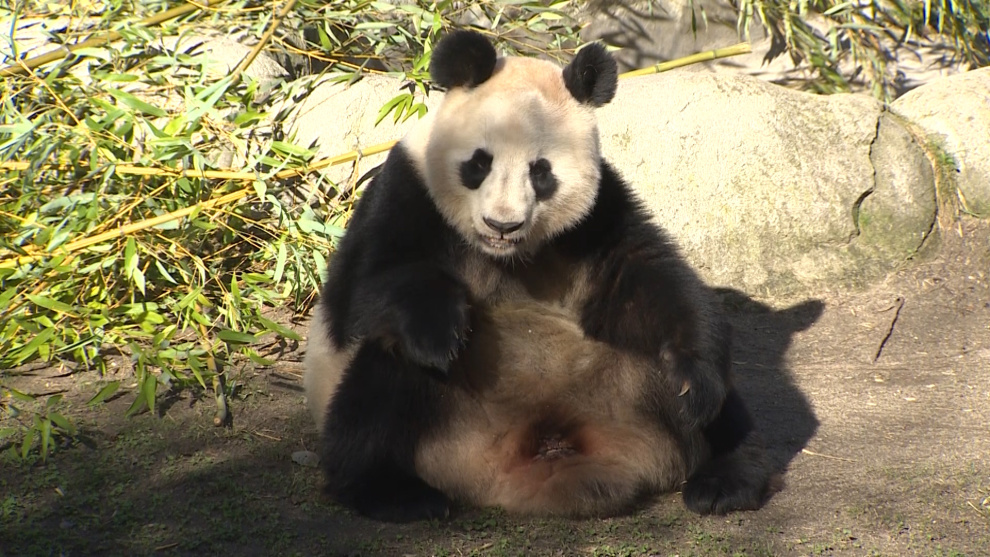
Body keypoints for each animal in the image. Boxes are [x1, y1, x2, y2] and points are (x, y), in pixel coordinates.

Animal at [304, 30, 776, 522]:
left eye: (541, 172)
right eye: (479, 164)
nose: (502, 224)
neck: (508, 256)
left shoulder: (598, 216)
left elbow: (648, 279)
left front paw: (691, 383)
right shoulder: (407, 191)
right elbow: (370, 287)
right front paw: (441, 334)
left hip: (627, 386)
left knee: (715, 404)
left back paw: (724, 481)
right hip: (442, 430)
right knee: (380, 380)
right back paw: (395, 491)